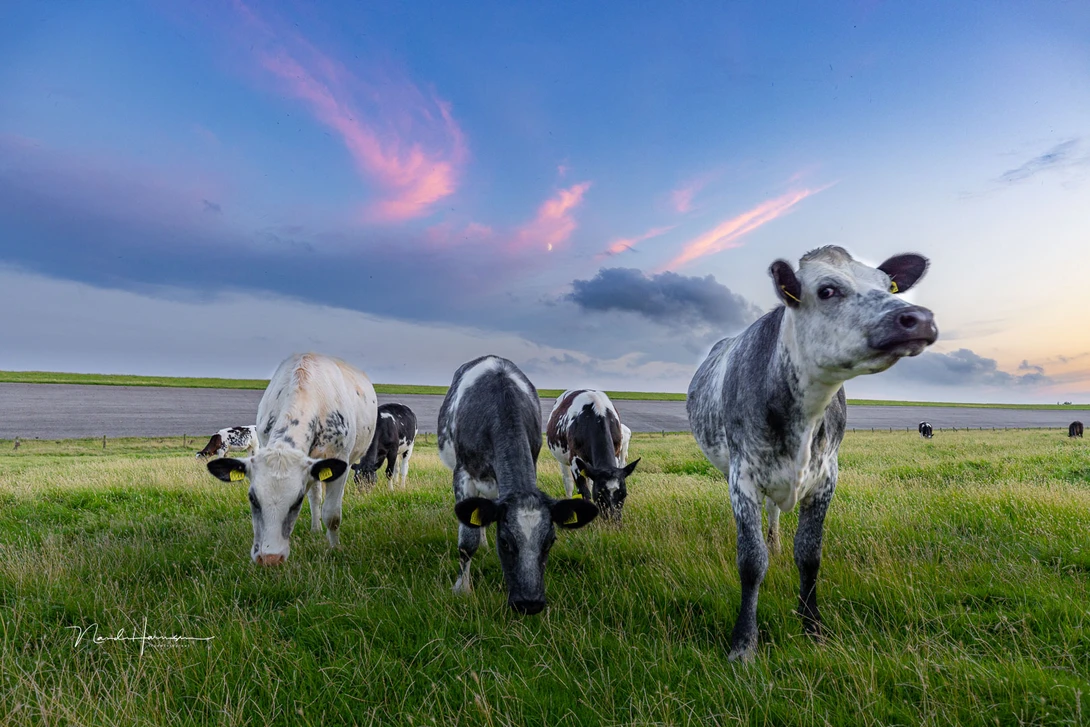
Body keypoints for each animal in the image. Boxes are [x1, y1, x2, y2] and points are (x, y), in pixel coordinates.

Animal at [205, 353, 378, 566]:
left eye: (297, 500)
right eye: (252, 498)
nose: (270, 558)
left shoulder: (340, 459)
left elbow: (332, 514)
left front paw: (335, 549)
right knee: (316, 495)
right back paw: (315, 529)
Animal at [438, 355, 598, 614]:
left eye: (550, 541)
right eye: (504, 542)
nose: (529, 603)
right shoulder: (462, 474)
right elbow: (467, 541)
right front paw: (462, 589)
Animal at [546, 389, 640, 522]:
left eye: (624, 494)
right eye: (600, 493)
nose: (613, 521)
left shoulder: (616, 455)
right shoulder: (575, 461)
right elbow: (584, 492)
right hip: (562, 458)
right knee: (568, 483)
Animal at [687, 246, 937, 662]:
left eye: (887, 285)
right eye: (827, 291)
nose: (918, 318)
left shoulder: (826, 480)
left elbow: (809, 555)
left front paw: (813, 628)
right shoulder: (743, 478)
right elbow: (751, 561)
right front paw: (743, 644)